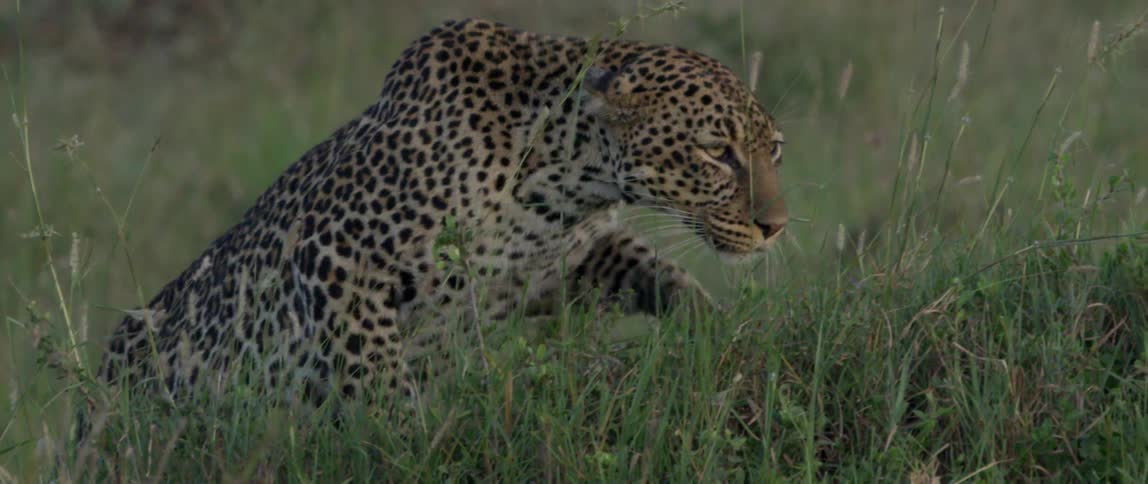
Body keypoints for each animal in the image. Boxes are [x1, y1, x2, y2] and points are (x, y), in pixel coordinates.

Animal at [95, 18, 789, 408]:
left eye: (774, 149)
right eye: (716, 152)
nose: (775, 227)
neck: (566, 180)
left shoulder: (571, 259)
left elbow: (664, 277)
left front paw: (722, 335)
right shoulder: (332, 255)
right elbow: (374, 371)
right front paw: (404, 436)